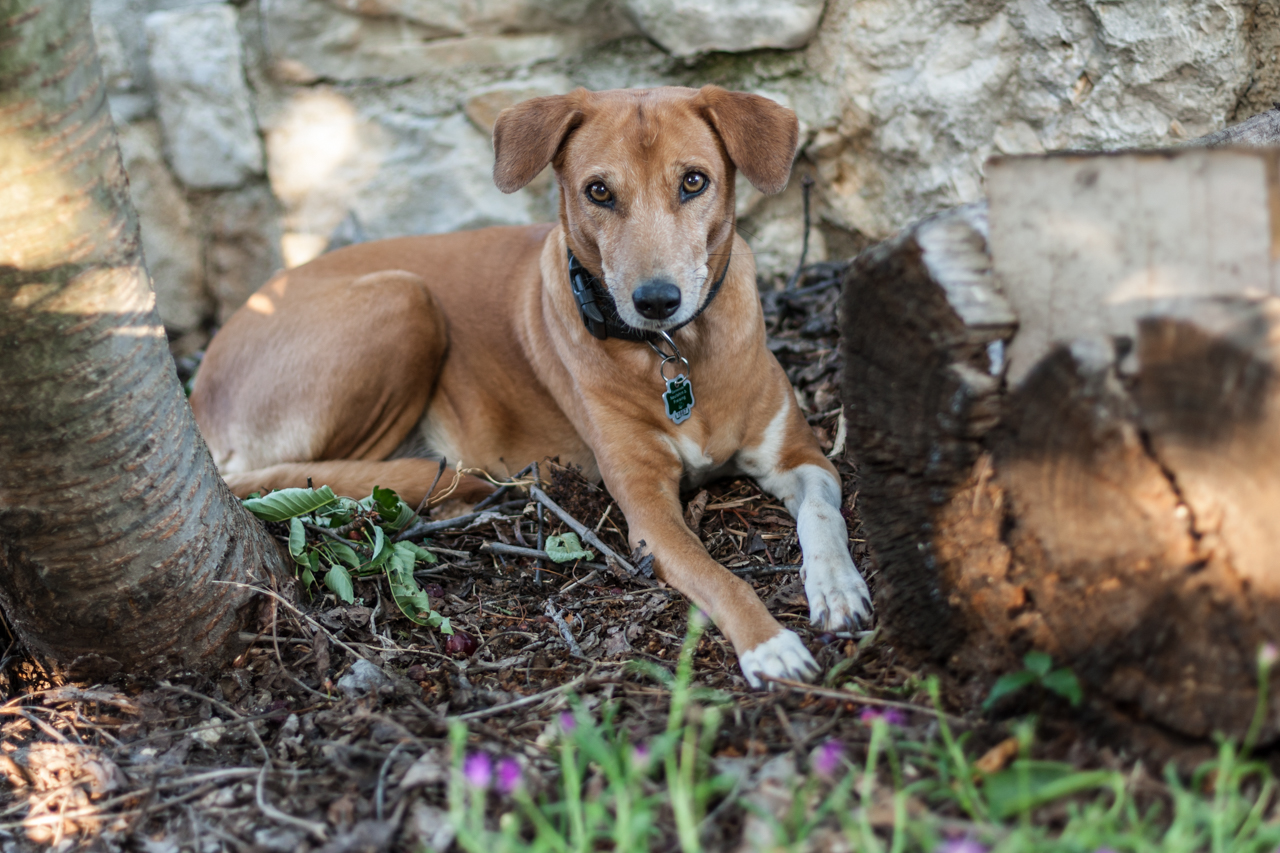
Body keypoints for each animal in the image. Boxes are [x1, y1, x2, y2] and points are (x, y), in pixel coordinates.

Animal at [189, 86, 870, 686]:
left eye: (695, 181)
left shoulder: (800, 456)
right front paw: (769, 643)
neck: (678, 354)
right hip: (404, 299)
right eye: (598, 191)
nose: (656, 301)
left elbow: (823, 513)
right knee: (335, 480)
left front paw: (839, 589)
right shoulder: (648, 511)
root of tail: (199, 393)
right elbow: (721, 577)